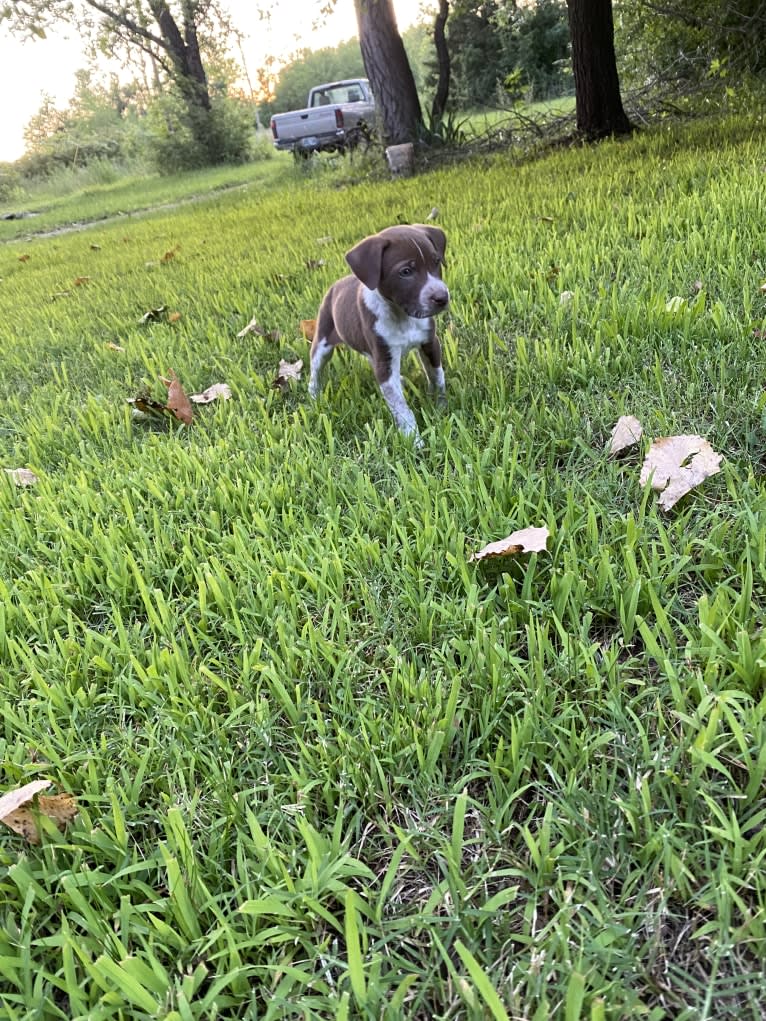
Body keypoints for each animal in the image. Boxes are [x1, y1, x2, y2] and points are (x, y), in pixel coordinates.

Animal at [308, 225, 449, 441]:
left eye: (436, 262)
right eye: (405, 272)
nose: (442, 298)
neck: (402, 315)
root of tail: (336, 284)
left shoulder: (430, 342)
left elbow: (437, 375)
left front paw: (439, 406)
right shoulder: (384, 357)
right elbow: (400, 406)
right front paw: (412, 438)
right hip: (323, 339)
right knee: (315, 370)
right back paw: (314, 396)